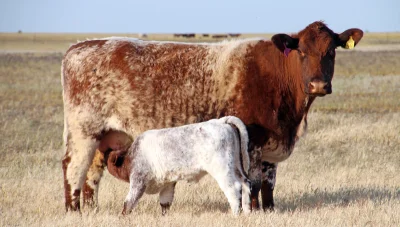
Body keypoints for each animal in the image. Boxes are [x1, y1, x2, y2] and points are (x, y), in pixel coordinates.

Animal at [100, 116, 250, 215]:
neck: (131, 155)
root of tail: (220, 121)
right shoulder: (167, 183)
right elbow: (165, 203)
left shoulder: (138, 180)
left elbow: (129, 202)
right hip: (236, 166)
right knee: (246, 183)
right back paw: (247, 212)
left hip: (222, 170)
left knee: (233, 188)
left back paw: (235, 214)